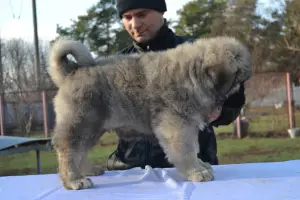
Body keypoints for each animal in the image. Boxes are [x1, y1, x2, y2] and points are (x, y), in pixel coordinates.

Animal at [48, 36, 252, 191]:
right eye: (237, 80)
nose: (240, 100)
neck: (192, 73)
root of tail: (71, 71)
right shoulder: (178, 126)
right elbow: (186, 150)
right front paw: (196, 171)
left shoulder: (188, 124)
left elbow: (194, 148)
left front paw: (200, 165)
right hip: (82, 123)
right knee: (69, 151)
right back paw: (74, 180)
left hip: (92, 127)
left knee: (80, 152)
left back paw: (86, 171)